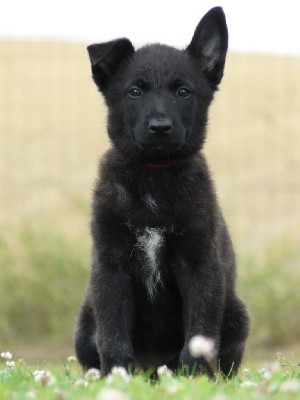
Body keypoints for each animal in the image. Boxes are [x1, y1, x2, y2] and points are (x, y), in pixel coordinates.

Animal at [74, 7, 248, 378]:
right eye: (134, 92)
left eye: (183, 92)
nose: (160, 127)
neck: (154, 177)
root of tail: (154, 369)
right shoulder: (111, 266)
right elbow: (113, 332)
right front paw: (117, 376)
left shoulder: (200, 264)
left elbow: (199, 331)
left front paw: (195, 378)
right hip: (84, 320)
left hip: (237, 315)